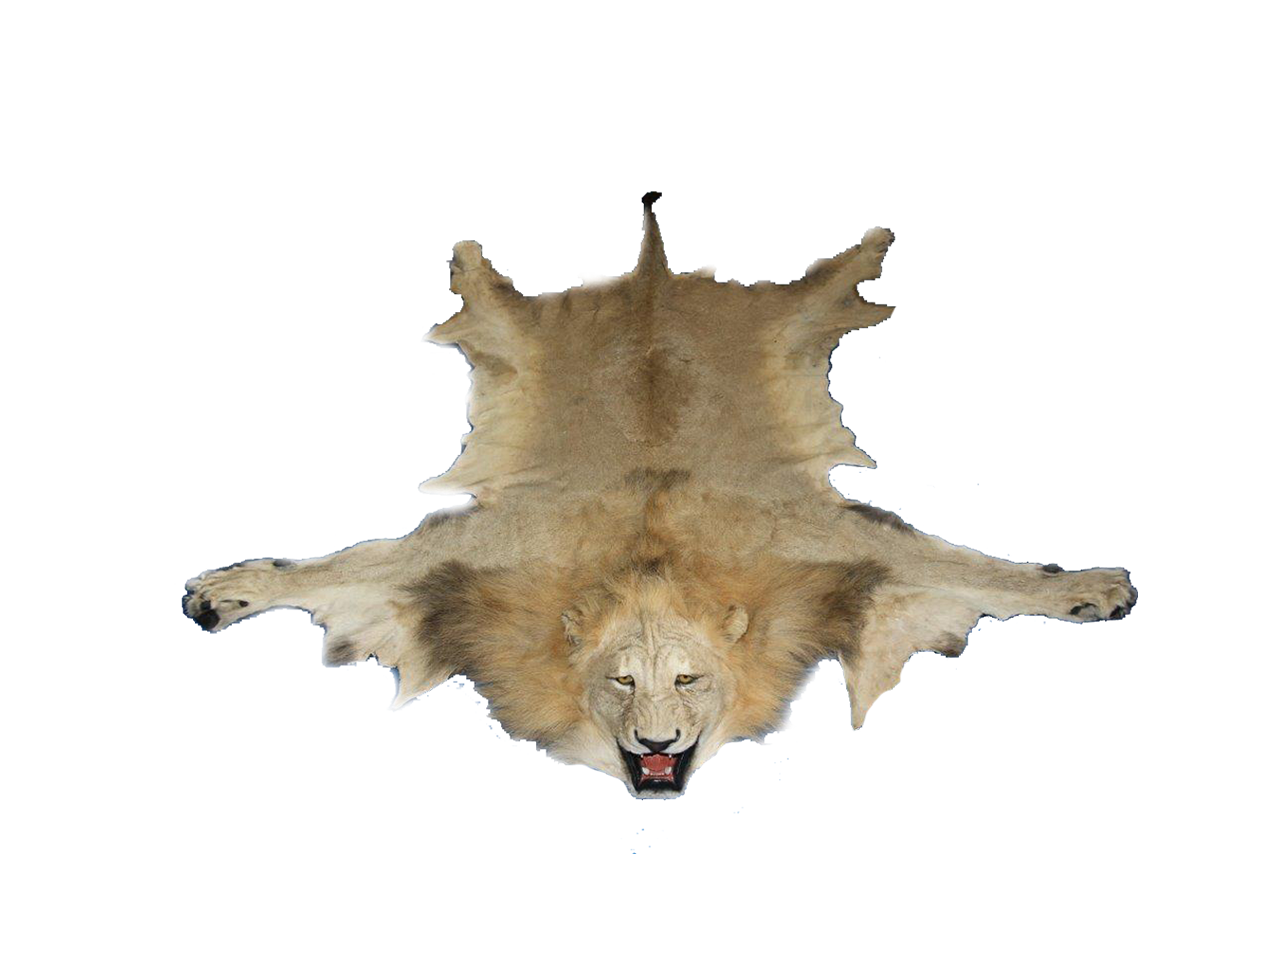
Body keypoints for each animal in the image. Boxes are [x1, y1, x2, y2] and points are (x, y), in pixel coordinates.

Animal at [183, 198, 1135, 800]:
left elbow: (972, 567)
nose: (655, 744)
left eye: (687, 680)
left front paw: (1091, 590)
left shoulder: (830, 540)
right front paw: (226, 591)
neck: (648, 568)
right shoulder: (473, 549)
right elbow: (342, 565)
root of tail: (652, 273)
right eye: (621, 682)